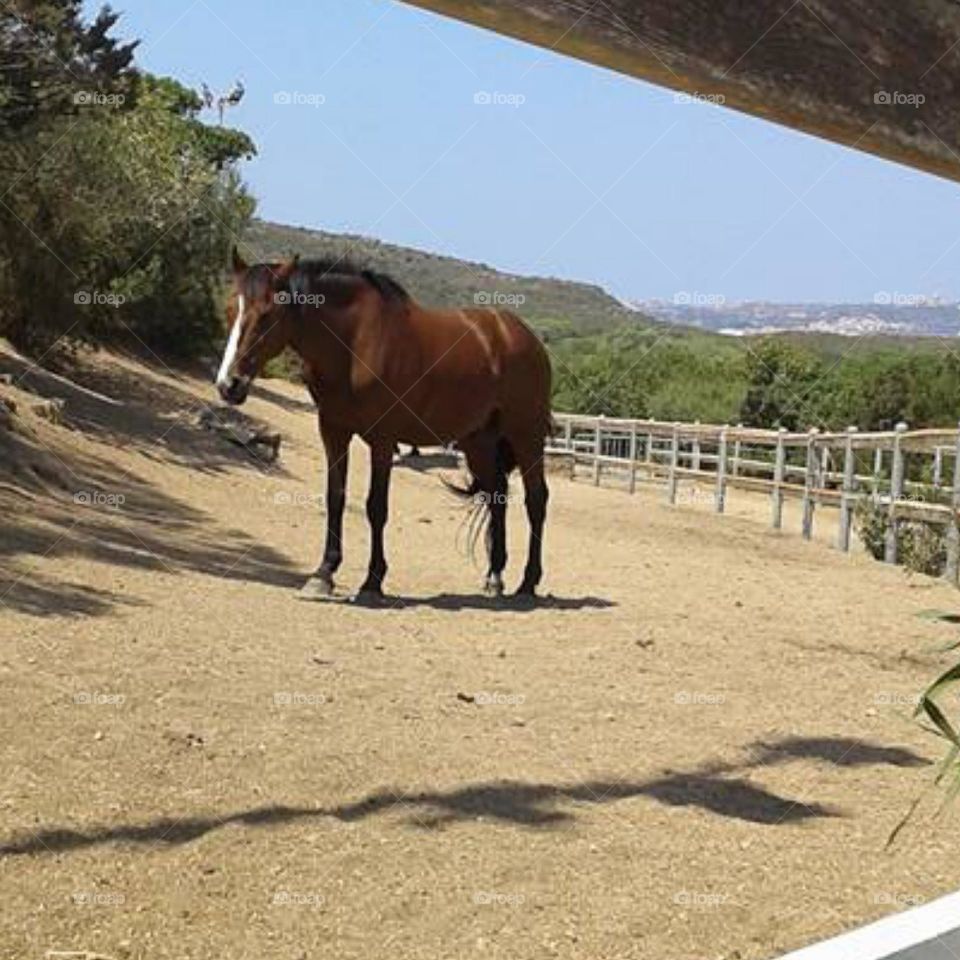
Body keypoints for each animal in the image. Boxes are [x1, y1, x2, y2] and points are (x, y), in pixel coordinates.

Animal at [216, 248, 553, 600]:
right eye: (230, 309)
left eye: (267, 314)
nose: (229, 385)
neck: (353, 344)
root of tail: (523, 336)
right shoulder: (333, 431)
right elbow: (335, 497)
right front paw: (323, 574)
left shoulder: (382, 439)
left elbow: (376, 506)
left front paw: (372, 580)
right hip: (479, 442)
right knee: (497, 495)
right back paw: (495, 576)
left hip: (526, 436)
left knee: (536, 499)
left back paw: (528, 582)